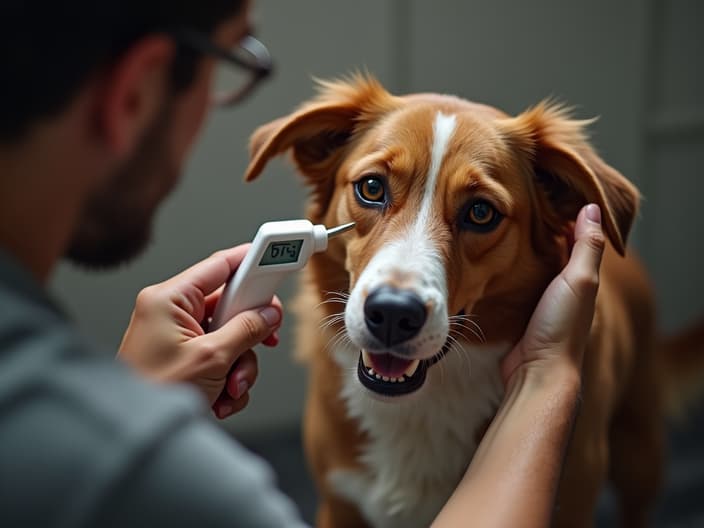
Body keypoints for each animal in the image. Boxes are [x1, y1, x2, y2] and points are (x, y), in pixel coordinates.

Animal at [243, 76, 676, 528]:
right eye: (372, 188)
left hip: (640, 450)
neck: (425, 401)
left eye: (481, 212)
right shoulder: (339, 504)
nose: (393, 314)